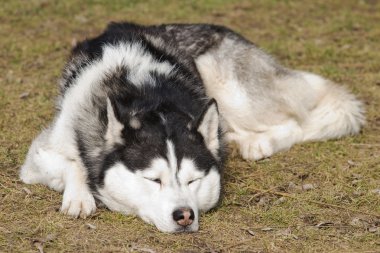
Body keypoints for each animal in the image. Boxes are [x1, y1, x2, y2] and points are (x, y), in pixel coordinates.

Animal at [19, 22, 364, 232]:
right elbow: (73, 163)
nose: (184, 215)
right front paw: (79, 197)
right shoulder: (38, 156)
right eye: (153, 180)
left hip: (227, 83)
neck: (148, 96)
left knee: (295, 121)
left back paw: (255, 143)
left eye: (193, 180)